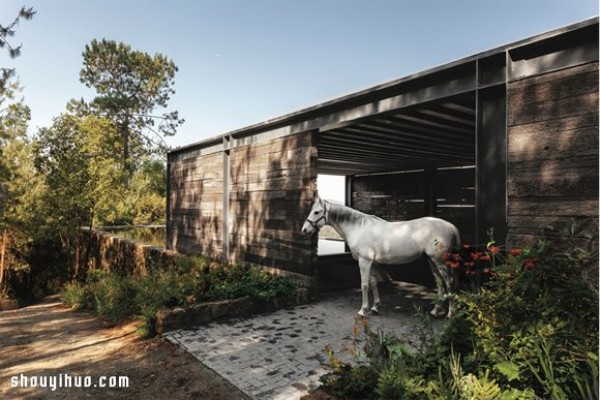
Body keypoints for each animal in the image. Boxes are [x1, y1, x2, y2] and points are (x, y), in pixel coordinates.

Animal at [302, 195, 462, 318]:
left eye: (316, 212)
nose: (304, 230)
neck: (358, 228)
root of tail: (450, 226)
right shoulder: (372, 263)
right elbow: (373, 283)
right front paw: (374, 308)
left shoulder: (364, 262)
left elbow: (364, 284)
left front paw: (362, 310)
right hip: (432, 261)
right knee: (440, 283)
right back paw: (435, 311)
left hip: (440, 261)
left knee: (449, 283)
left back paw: (450, 314)